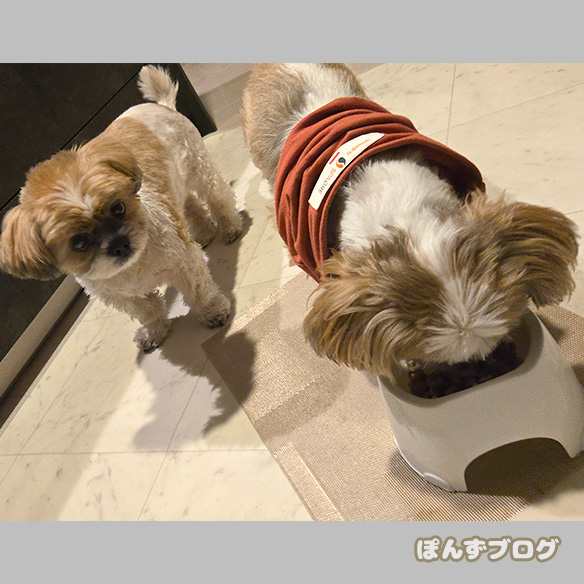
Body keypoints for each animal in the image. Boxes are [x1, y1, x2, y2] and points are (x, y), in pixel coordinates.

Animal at [0, 65, 243, 353]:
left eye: (118, 208)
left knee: (217, 197)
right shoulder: (122, 297)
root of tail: (162, 106)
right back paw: (204, 233)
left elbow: (198, 291)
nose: (119, 243)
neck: (133, 266)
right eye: (78, 243)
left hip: (200, 170)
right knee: (189, 205)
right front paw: (154, 331)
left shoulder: (184, 262)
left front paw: (212, 311)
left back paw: (230, 227)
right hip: (175, 187)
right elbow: (148, 310)